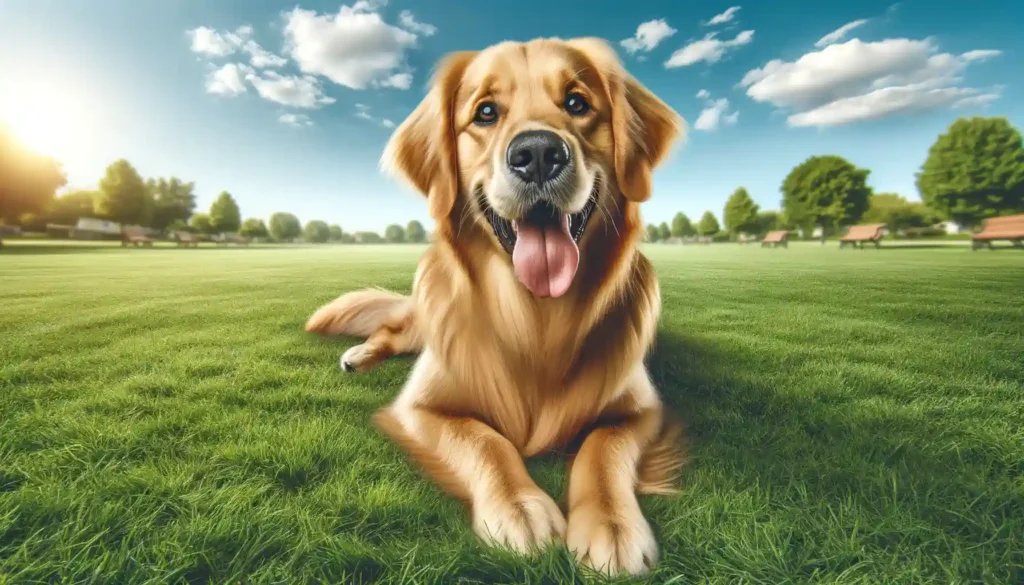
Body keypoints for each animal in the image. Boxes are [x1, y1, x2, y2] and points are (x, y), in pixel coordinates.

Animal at [303, 36, 688, 577]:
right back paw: (359, 356)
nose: (539, 153)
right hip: (421, 322)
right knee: (392, 330)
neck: (535, 316)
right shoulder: (420, 406)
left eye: (577, 103)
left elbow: (602, 446)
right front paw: (518, 507)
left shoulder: (642, 409)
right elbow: (484, 439)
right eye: (485, 112)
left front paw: (612, 525)